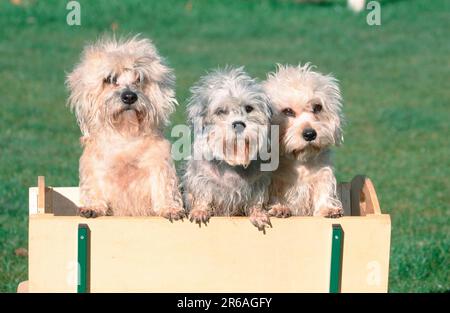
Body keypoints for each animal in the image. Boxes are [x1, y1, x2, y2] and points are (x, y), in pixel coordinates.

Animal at [65, 35, 185, 218]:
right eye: (110, 79)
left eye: (139, 79)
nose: (129, 97)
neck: (125, 135)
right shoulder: (95, 167)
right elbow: (94, 188)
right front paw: (93, 207)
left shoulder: (159, 164)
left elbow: (164, 187)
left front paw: (169, 208)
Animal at [181, 67, 272, 230]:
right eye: (220, 111)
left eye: (249, 108)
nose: (239, 124)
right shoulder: (201, 179)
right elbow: (202, 196)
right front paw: (200, 211)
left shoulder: (258, 183)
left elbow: (257, 201)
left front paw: (258, 214)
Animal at [264, 64, 344, 217]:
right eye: (288, 111)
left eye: (317, 107)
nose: (310, 134)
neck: (299, 161)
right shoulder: (273, 180)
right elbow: (273, 194)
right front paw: (279, 207)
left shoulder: (322, 174)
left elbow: (323, 190)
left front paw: (327, 208)